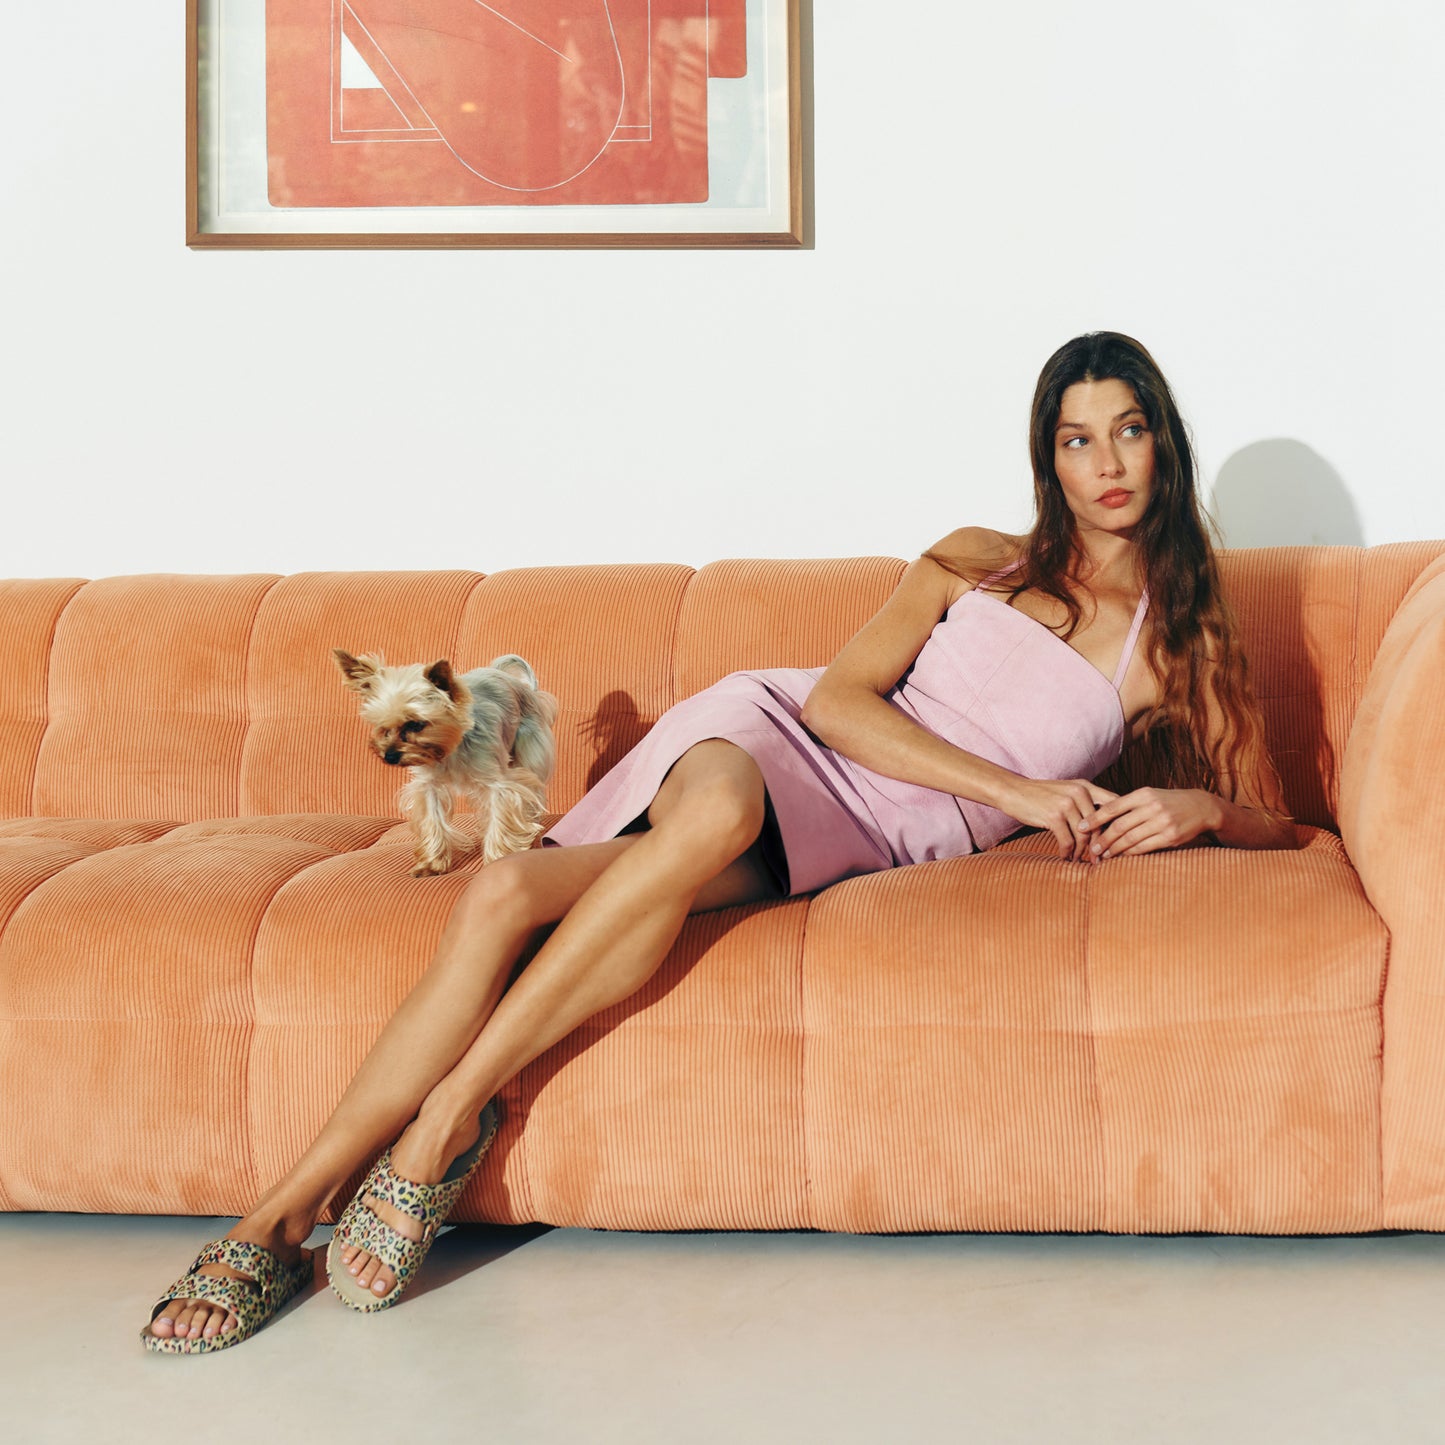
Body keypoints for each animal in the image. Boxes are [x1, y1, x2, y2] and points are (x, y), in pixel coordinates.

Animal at [333, 649, 559, 876]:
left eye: (416, 724)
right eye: (381, 726)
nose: (389, 756)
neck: (448, 751)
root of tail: (508, 677)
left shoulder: (498, 784)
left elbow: (502, 815)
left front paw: (498, 859)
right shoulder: (428, 786)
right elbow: (432, 819)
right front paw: (431, 864)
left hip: (529, 750)